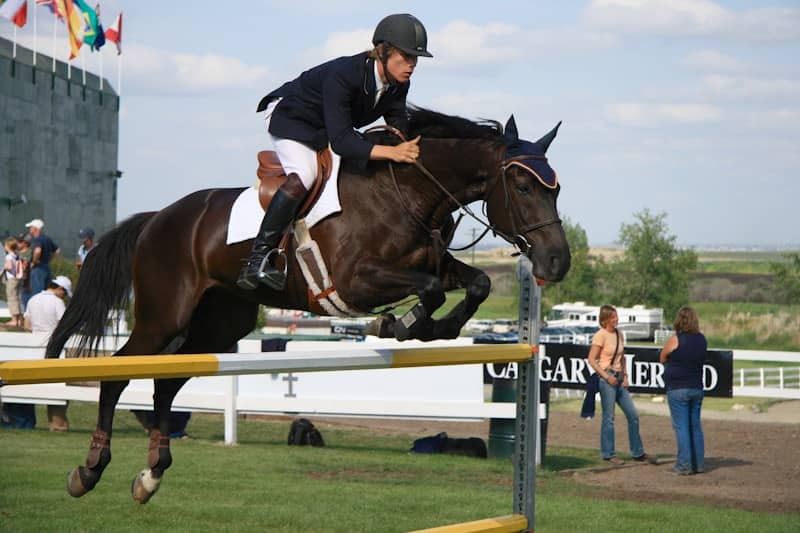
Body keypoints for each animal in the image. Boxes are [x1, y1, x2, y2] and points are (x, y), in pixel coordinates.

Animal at [46, 107, 571, 502]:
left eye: (556, 188)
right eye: (524, 187)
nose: (557, 261)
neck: (406, 191)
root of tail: (157, 218)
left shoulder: (437, 264)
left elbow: (475, 284)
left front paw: (423, 328)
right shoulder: (356, 281)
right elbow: (431, 291)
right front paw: (400, 324)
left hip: (220, 323)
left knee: (166, 383)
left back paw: (151, 474)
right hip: (162, 317)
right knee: (120, 374)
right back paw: (89, 469)